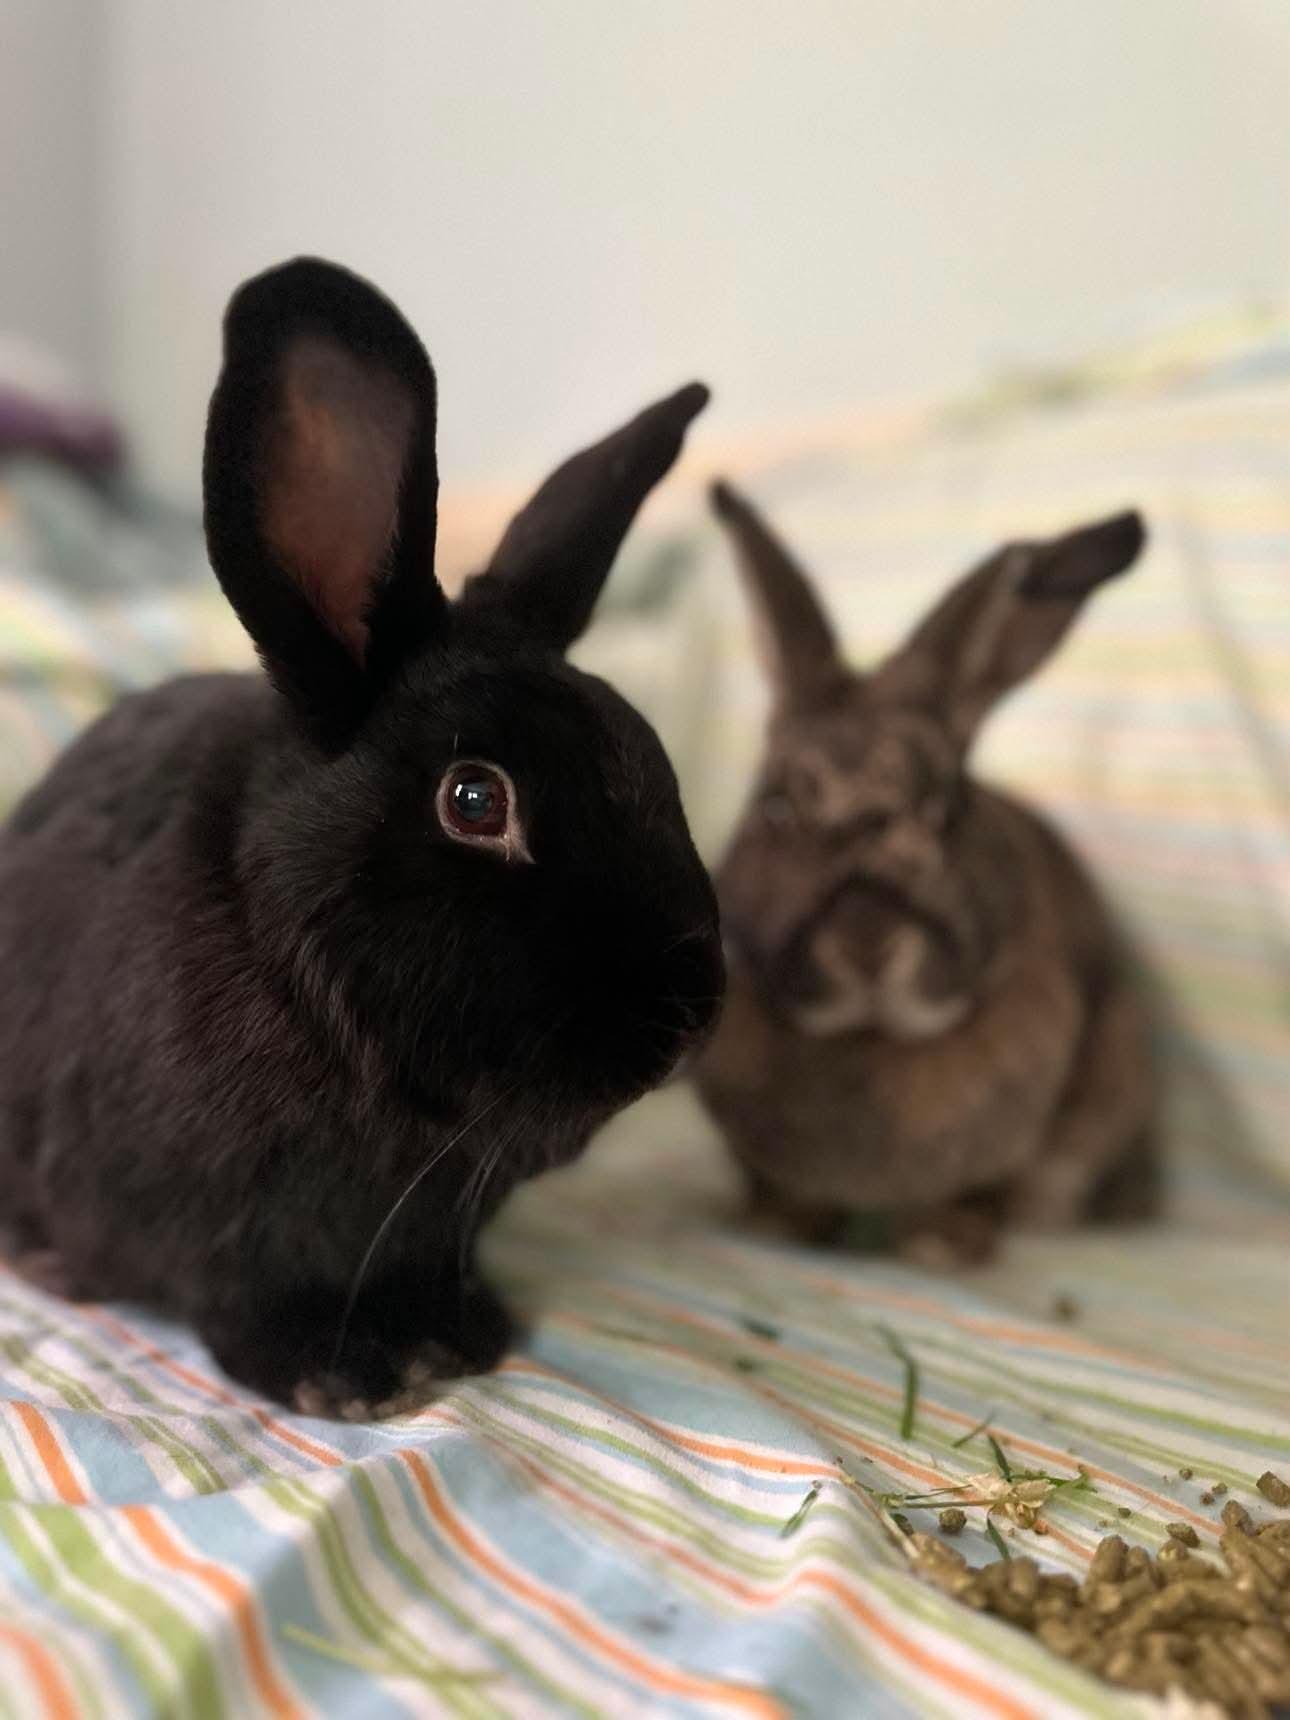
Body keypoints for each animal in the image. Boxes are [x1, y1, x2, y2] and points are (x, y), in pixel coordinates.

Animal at [0, 258, 723, 1415]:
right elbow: (243, 1301)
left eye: (651, 753)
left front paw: (461, 1336)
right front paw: (342, 1380)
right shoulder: (220, 1240)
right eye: (474, 800)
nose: (691, 1017)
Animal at [694, 481, 1158, 1264]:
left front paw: (941, 1245)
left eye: (946, 811)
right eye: (776, 808)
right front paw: (775, 1228)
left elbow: (986, 1191)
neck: (872, 1037)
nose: (867, 941)